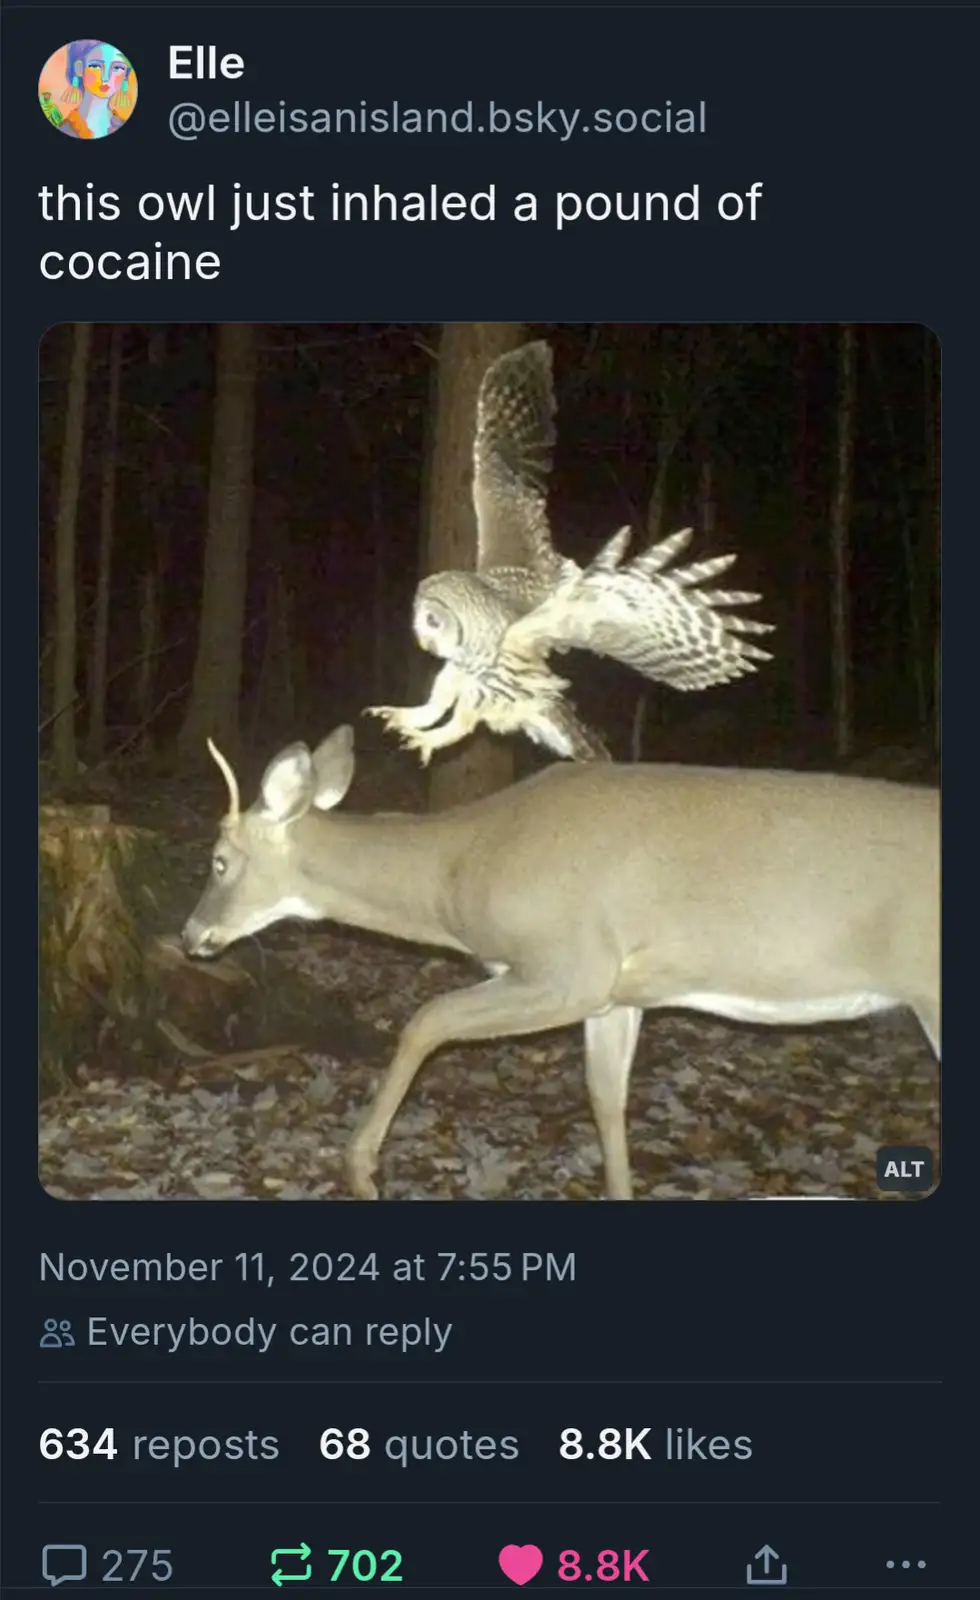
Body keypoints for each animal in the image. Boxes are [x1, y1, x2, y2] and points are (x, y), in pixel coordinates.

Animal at [181, 726, 940, 1201]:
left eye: (218, 861)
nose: (191, 936)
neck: (456, 873)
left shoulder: (568, 965)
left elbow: (426, 1020)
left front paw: (361, 1167)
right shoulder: (617, 993)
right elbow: (605, 1098)